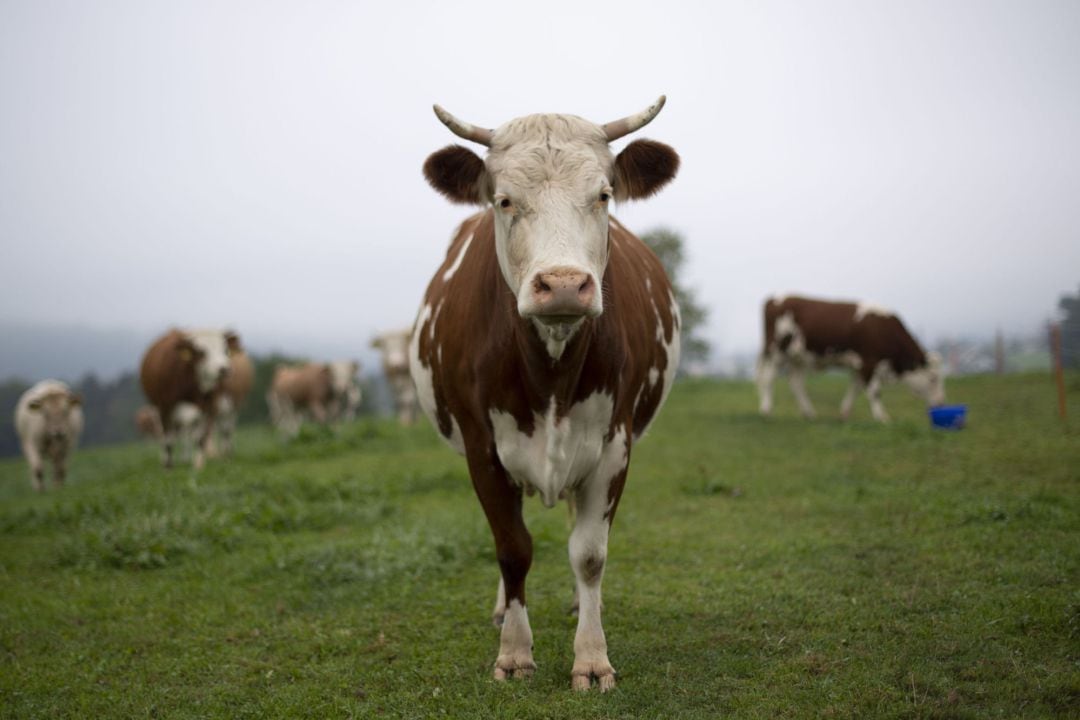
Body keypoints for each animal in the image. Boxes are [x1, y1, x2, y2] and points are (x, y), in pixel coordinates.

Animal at [139, 330, 240, 470]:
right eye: (202, 352)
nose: (224, 369)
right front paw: (168, 466)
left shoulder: (208, 406)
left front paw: (198, 465)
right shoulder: (165, 406)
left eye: (225, 350)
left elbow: (201, 437)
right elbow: (168, 438)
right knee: (166, 436)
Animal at [408, 97, 678, 690]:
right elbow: (513, 549)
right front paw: (513, 652)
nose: (562, 285)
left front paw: (592, 658)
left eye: (603, 195)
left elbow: (589, 553)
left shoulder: (614, 443)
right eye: (504, 200)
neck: (550, 368)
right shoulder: (482, 447)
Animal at [760, 295, 946, 425]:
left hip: (798, 357)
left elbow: (855, 389)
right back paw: (766, 410)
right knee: (768, 378)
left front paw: (844, 414)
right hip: (776, 351)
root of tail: (774, 298)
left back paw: (809, 413)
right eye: (933, 378)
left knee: (796, 383)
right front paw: (883, 418)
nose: (941, 403)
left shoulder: (859, 366)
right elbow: (875, 392)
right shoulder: (869, 362)